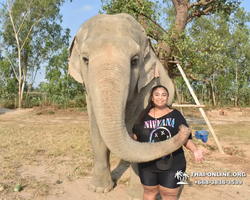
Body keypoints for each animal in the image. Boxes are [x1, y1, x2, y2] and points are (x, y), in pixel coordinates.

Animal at [68, 13, 189, 199]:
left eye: (134, 61)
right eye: (85, 59)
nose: (185, 130)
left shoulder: (148, 84)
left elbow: (136, 125)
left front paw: (137, 195)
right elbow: (96, 128)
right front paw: (99, 189)